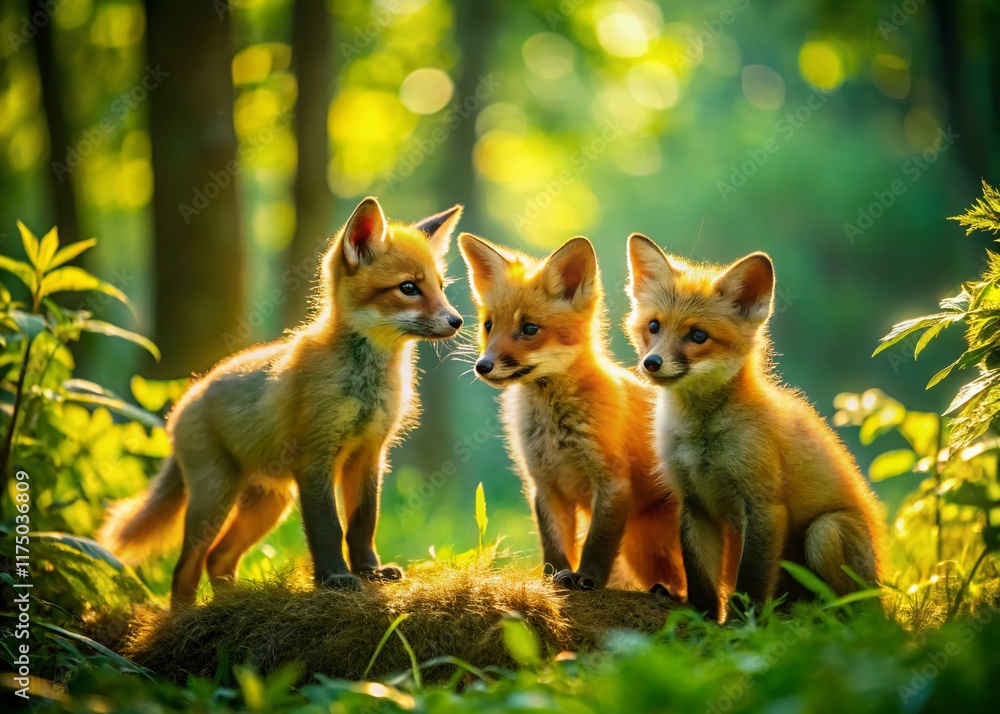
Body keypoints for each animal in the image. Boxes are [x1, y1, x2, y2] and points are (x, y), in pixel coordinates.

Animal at [99, 197, 464, 604]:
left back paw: (232, 601)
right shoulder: (314, 458)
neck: (363, 385)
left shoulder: (369, 455)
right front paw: (335, 577)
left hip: (268, 505)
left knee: (218, 559)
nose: (458, 321)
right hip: (215, 499)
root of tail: (183, 402)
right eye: (408, 287)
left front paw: (370, 570)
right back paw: (184, 614)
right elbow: (328, 528)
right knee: (185, 570)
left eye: (440, 286)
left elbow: (363, 523)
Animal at [458, 233, 685, 594]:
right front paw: (555, 578)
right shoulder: (544, 484)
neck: (554, 429)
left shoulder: (612, 482)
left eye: (529, 329)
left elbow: (597, 542)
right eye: (489, 325)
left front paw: (587, 577)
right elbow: (553, 543)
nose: (483, 366)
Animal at [624, 232, 884, 621]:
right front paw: (702, 621)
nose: (651, 363)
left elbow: (749, 581)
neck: (703, 438)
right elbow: (700, 577)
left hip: (826, 532)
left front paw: (738, 627)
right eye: (654, 326)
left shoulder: (763, 505)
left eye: (698, 336)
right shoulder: (694, 503)